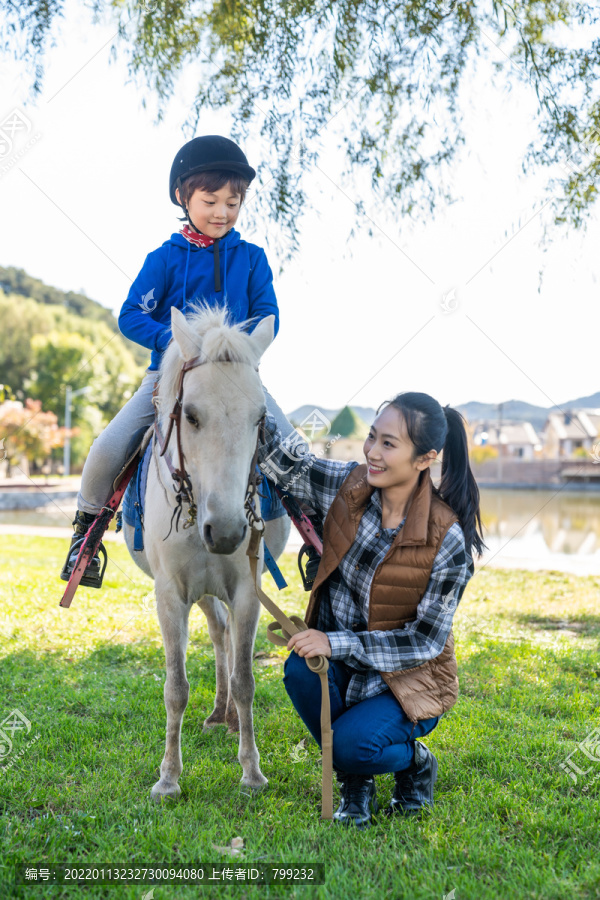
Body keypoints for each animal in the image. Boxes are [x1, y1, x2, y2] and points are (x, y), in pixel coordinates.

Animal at [123, 308, 290, 800]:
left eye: (260, 418)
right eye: (191, 415)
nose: (228, 531)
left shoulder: (248, 592)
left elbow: (246, 680)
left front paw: (251, 771)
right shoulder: (171, 594)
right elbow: (175, 687)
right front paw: (168, 777)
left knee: (228, 640)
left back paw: (229, 716)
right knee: (218, 634)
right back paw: (218, 713)